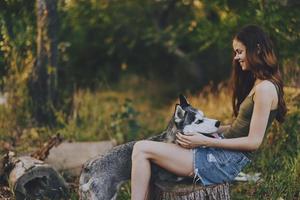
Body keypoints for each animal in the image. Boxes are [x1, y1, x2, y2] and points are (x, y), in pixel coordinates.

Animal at [79, 94, 220, 199]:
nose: (218, 122)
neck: (174, 143)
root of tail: (90, 165)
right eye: (198, 121)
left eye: (204, 116)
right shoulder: (168, 177)